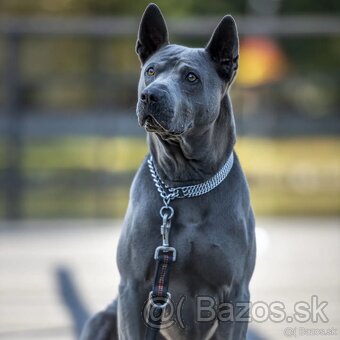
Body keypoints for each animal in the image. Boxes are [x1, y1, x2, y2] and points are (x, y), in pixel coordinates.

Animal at [80, 3, 255, 340]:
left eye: (191, 77)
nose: (151, 95)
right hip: (101, 319)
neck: (184, 181)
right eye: (151, 71)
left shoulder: (236, 294)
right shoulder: (133, 288)